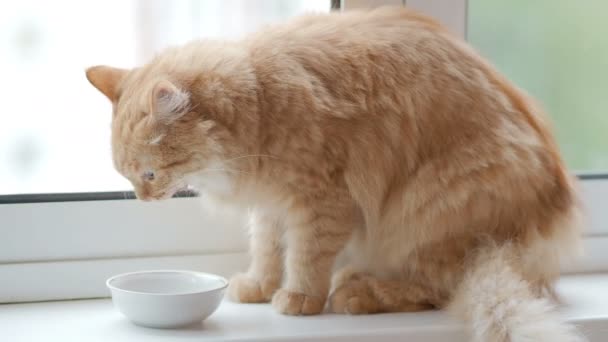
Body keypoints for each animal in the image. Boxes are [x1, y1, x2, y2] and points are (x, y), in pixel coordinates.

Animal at [86, 6, 584, 340]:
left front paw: (299, 297)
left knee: (438, 287)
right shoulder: (271, 204)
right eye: (126, 174)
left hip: (428, 207)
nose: (143, 200)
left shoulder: (321, 201)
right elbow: (267, 249)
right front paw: (261, 286)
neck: (261, 101)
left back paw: (356, 292)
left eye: (149, 175)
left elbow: (305, 256)